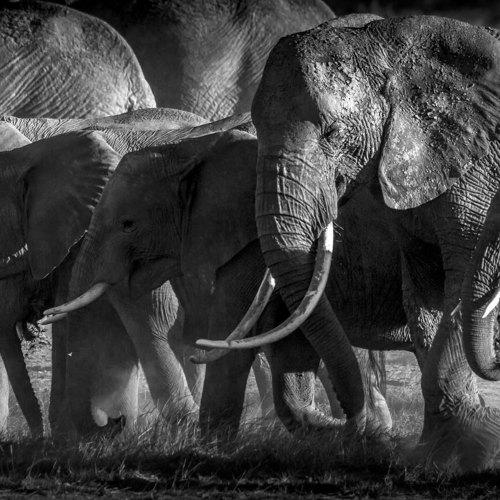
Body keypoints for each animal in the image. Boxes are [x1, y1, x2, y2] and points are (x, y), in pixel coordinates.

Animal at [44, 125, 412, 436]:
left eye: (128, 224)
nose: (114, 421)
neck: (190, 149)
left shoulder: (251, 242)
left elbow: (233, 319)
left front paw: (210, 444)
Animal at [195, 15, 500, 470]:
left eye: (333, 132)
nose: (359, 423)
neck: (390, 44)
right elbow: (426, 290)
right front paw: (442, 452)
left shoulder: (474, 168)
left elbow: (460, 282)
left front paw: (472, 449)